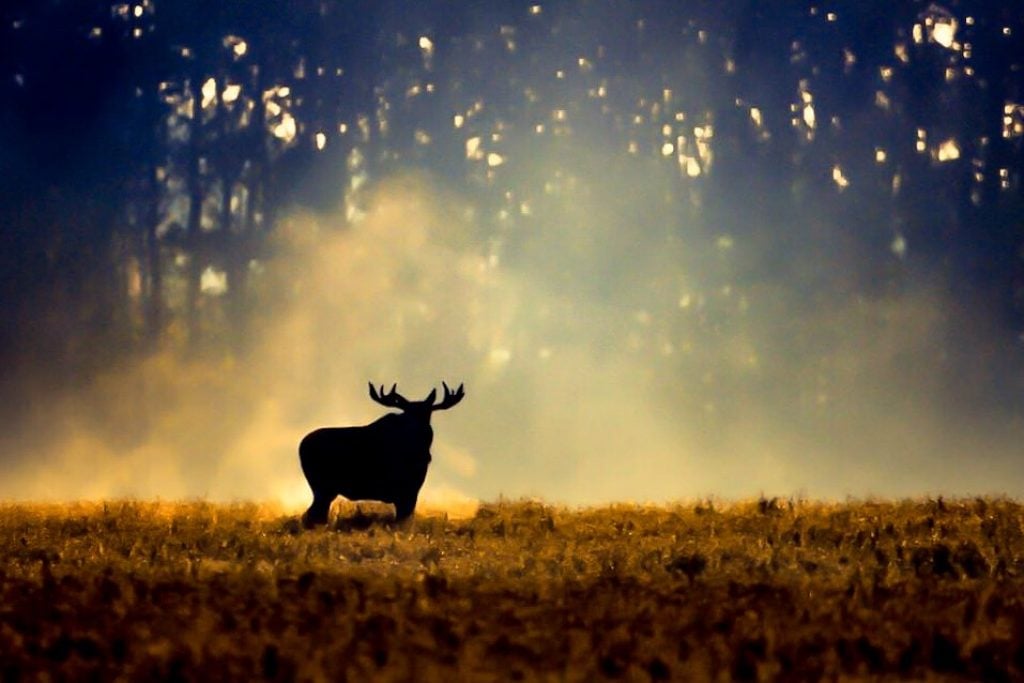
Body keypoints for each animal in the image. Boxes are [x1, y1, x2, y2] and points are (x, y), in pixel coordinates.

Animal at [299, 382, 466, 528]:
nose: (426, 456)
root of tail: (300, 446)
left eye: (428, 414)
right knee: (312, 515)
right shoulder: (406, 491)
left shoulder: (411, 490)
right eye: (409, 415)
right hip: (322, 487)